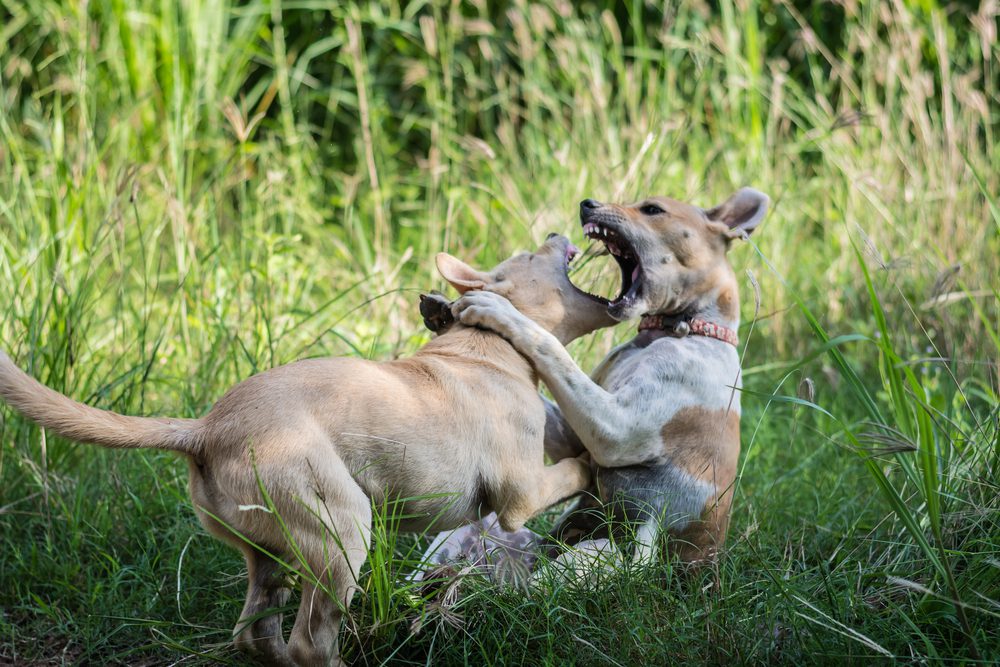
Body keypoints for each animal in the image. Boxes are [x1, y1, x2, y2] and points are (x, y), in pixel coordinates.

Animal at [0, 236, 612, 667]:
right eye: (533, 252)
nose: (560, 226)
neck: (489, 344)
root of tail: (206, 429)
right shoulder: (519, 493)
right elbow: (571, 470)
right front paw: (595, 465)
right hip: (342, 531)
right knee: (309, 643)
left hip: (268, 554)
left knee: (255, 633)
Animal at [450, 190, 768, 568]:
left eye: (652, 209)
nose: (587, 203)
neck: (683, 330)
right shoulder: (575, 436)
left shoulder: (617, 430)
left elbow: (548, 343)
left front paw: (500, 310)